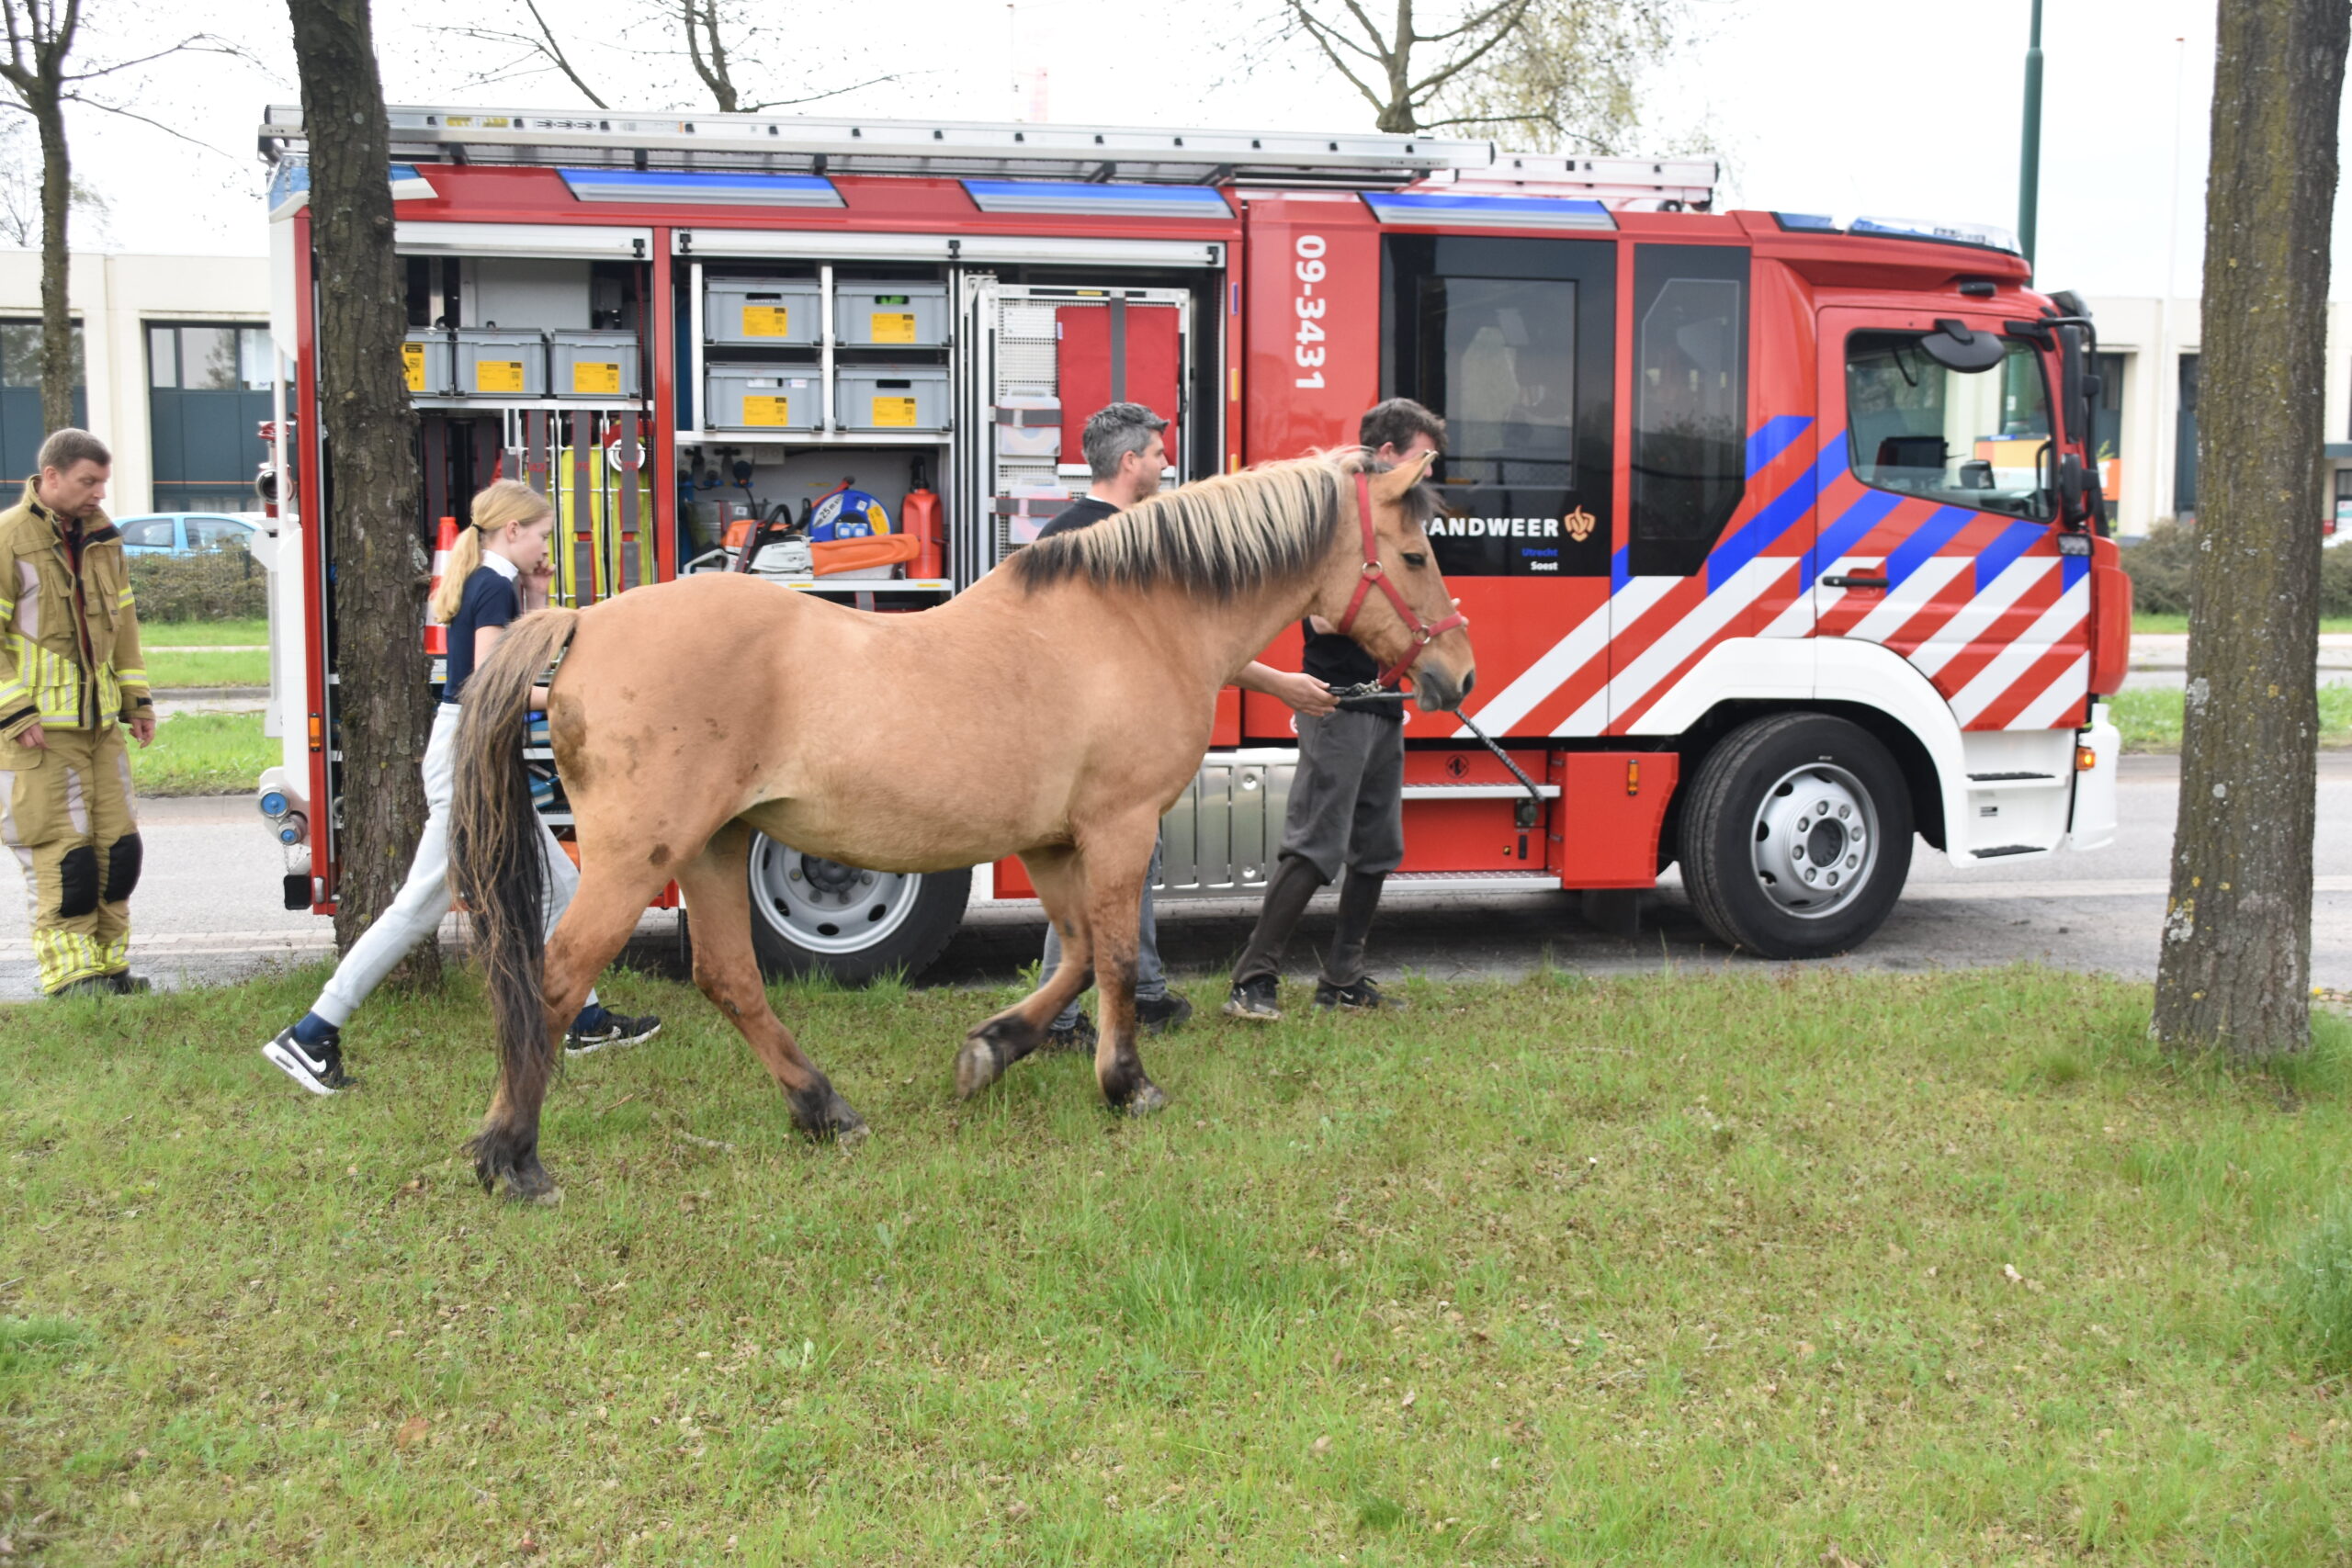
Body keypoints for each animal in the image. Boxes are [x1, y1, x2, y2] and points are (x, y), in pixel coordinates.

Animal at [448, 448, 1474, 1200]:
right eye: (1415, 554)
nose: (1456, 673)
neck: (1135, 622)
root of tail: (582, 624)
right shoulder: (1118, 828)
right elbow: (1111, 958)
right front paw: (1127, 1083)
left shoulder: (1055, 842)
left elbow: (1073, 957)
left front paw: (993, 1049)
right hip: (640, 857)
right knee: (554, 977)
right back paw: (512, 1155)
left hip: (713, 847)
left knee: (729, 978)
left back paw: (823, 1109)